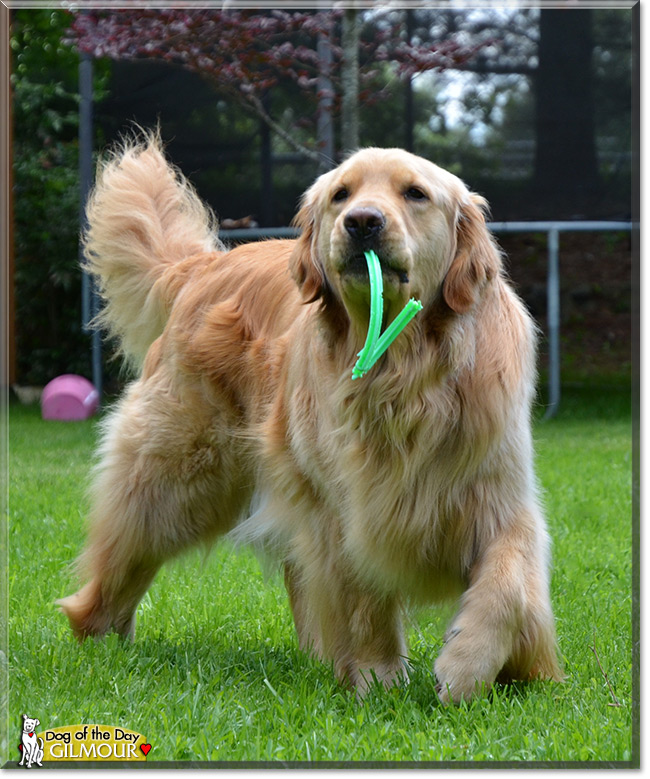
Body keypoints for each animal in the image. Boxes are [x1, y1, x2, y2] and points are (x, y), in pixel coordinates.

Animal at [58, 136, 560, 708]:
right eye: (341, 195)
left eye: (415, 193)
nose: (362, 221)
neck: (404, 375)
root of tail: (203, 268)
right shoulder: (349, 513)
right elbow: (364, 603)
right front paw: (378, 679)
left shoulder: (499, 493)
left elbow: (508, 586)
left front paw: (471, 665)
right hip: (177, 481)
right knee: (119, 561)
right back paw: (100, 639)